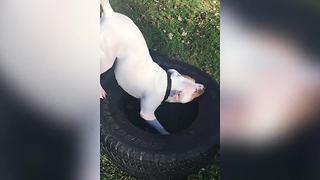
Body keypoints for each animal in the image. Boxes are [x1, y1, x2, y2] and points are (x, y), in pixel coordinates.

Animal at [100, 0, 205, 134]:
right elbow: (161, 128)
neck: (168, 83)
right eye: (195, 93)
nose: (204, 87)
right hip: (107, 58)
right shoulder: (148, 114)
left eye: (194, 80)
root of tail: (110, 14)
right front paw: (166, 134)